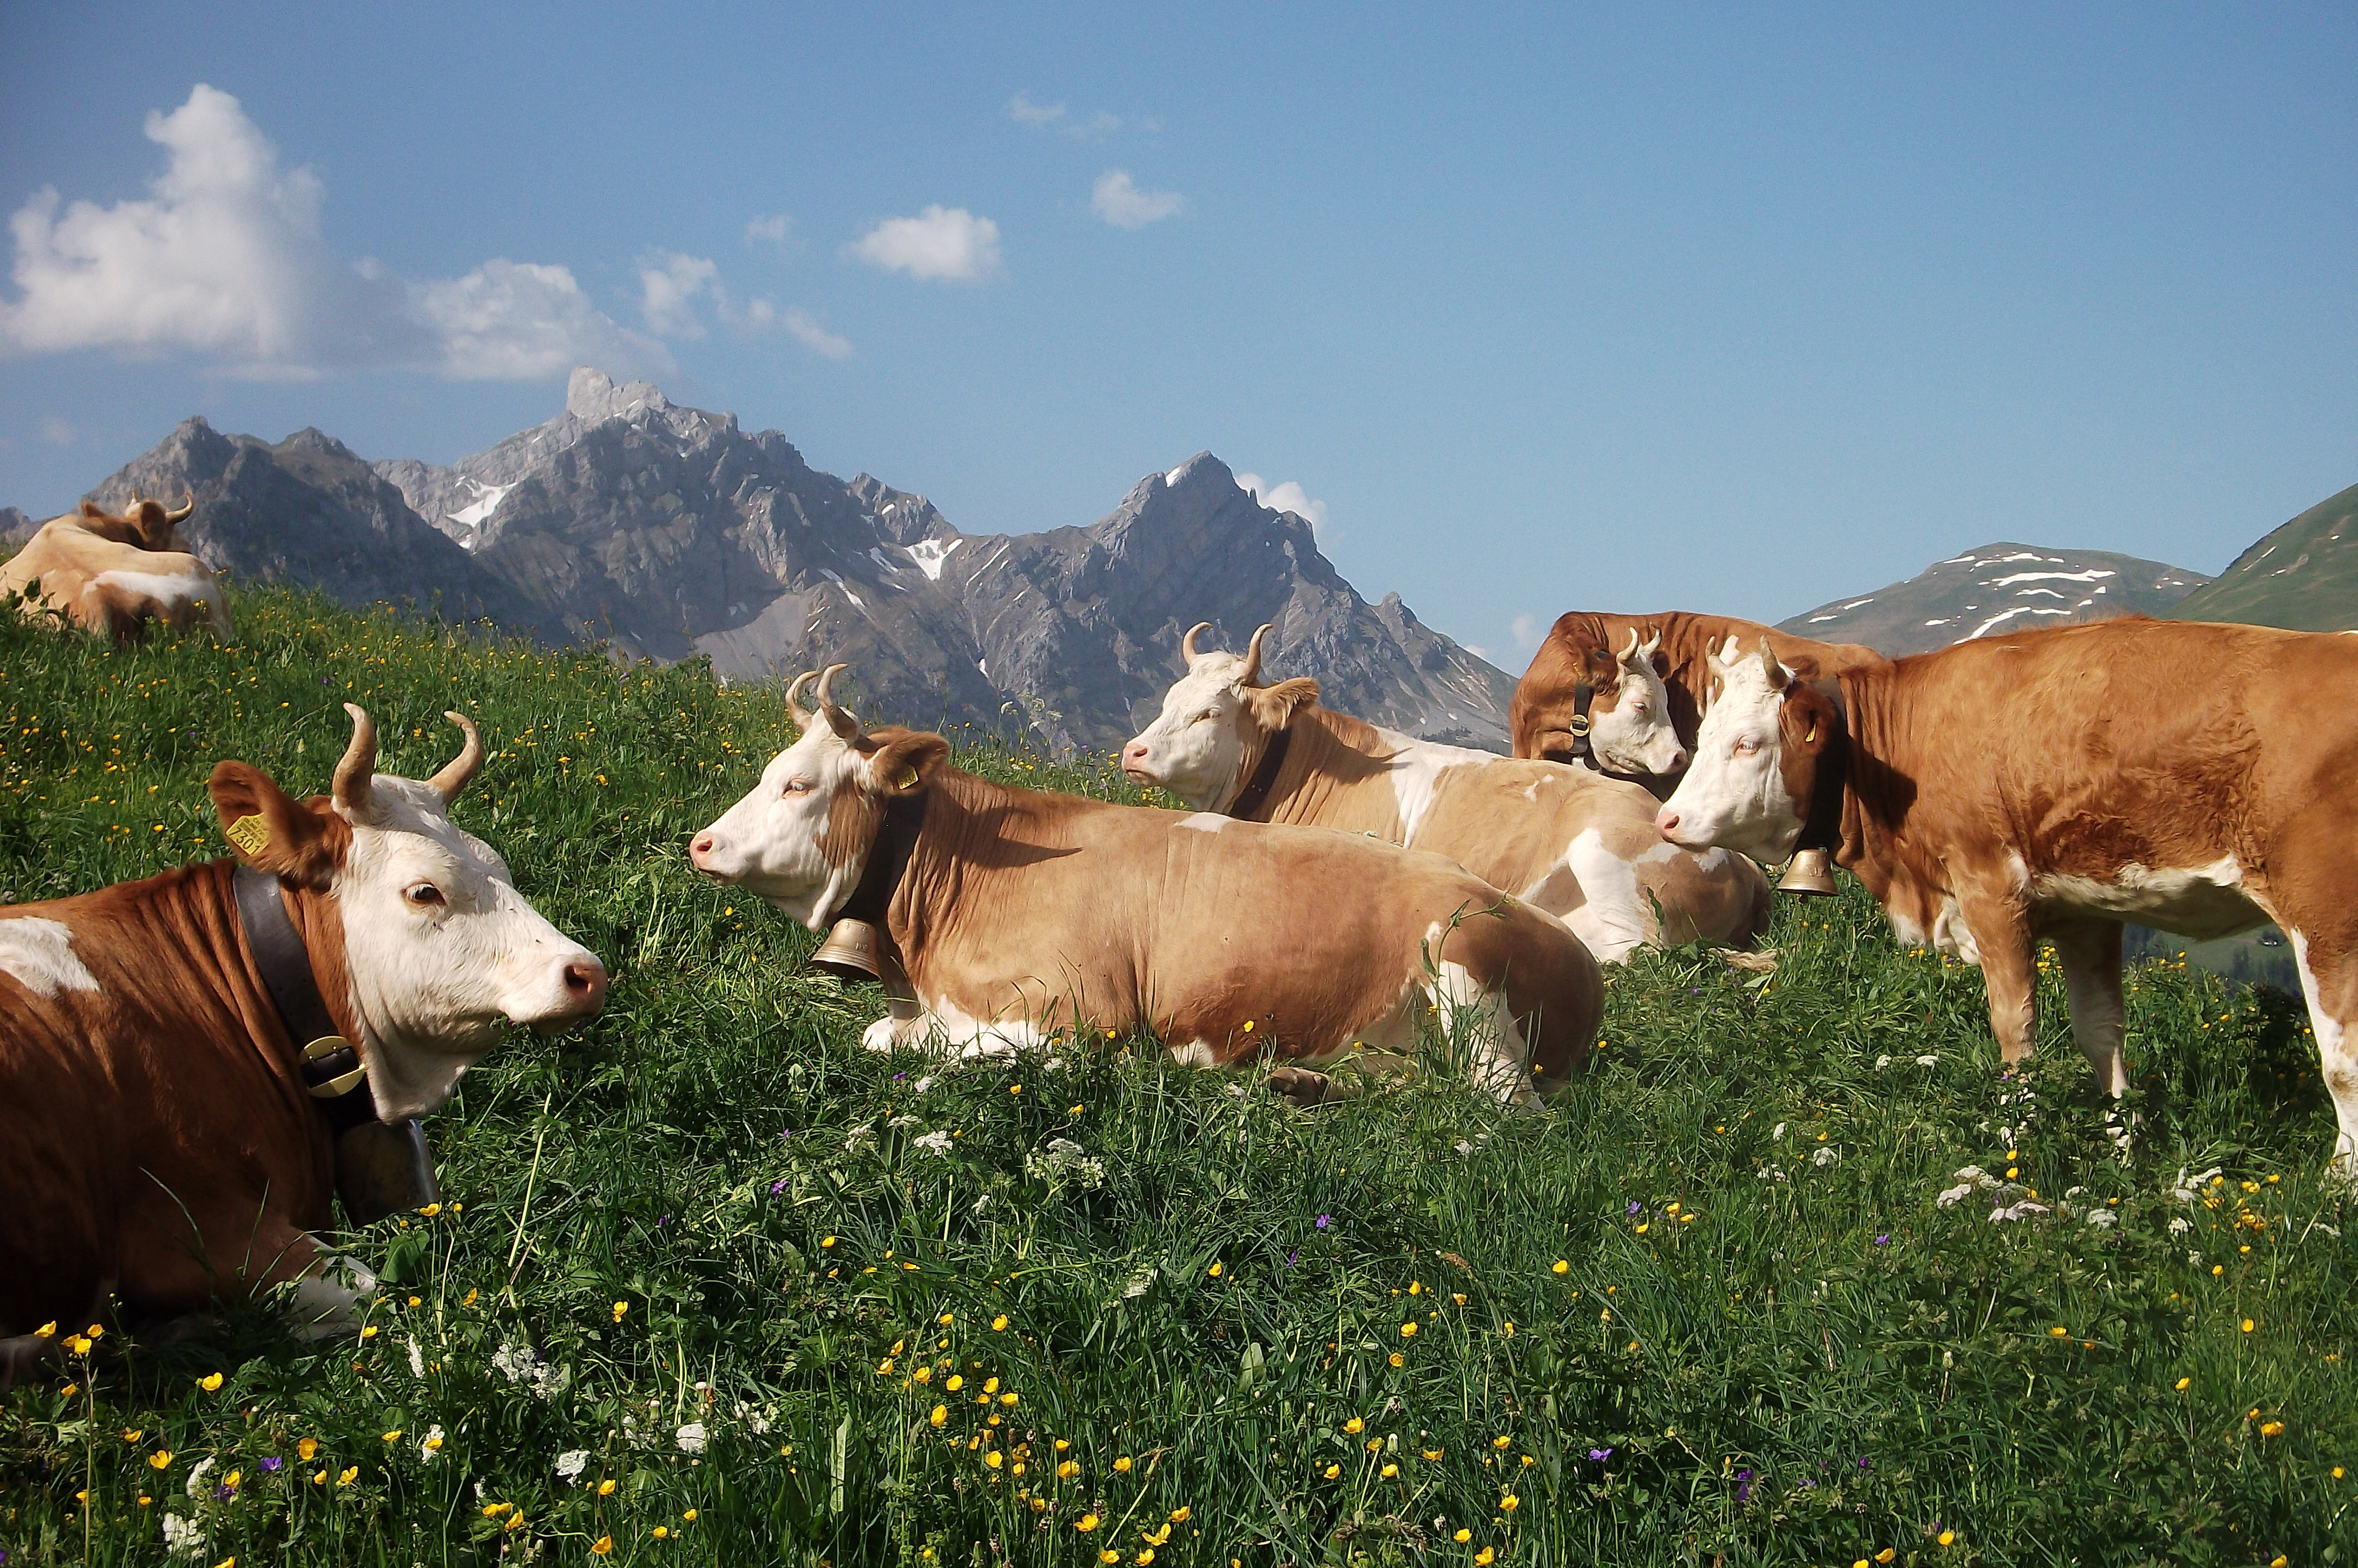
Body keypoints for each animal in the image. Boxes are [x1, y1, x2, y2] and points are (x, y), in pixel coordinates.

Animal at [689, 660, 1603, 1099]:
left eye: (798, 785)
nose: (701, 844)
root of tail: (1575, 949)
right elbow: (885, 1036)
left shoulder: (1076, 1014)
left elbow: (941, 1048)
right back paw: (1297, 1081)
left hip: (1467, 976)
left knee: (1496, 1109)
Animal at [1122, 622, 1773, 962]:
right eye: (1167, 702)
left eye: (1208, 713)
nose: (1133, 752)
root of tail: (1738, 859)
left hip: (1604, 855)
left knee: (1637, 950)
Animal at [1651, 622, 2358, 1174]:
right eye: (1706, 735)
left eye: (1748, 742)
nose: (1669, 819)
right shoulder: (2087, 912)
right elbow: (2101, 1031)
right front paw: (2122, 1148)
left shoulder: (1990, 889)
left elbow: (2014, 1029)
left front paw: (2017, 1145)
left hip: (2325, 915)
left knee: (2342, 1060)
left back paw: (2333, 1193)